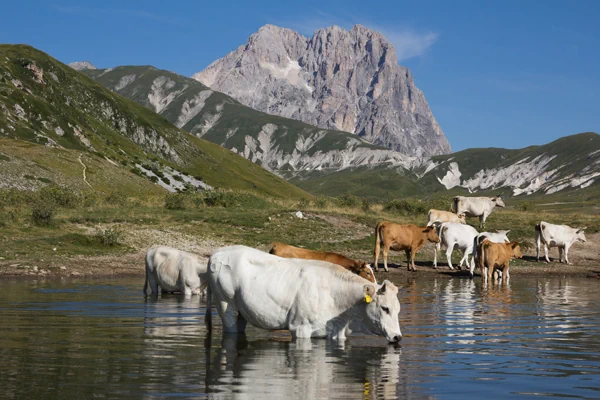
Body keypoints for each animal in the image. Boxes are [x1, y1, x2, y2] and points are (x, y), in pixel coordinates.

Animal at [206, 245, 404, 342]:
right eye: (385, 308)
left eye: (398, 310)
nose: (397, 337)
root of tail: (218, 252)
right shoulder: (300, 328)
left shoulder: (335, 332)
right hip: (225, 304)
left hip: (241, 310)